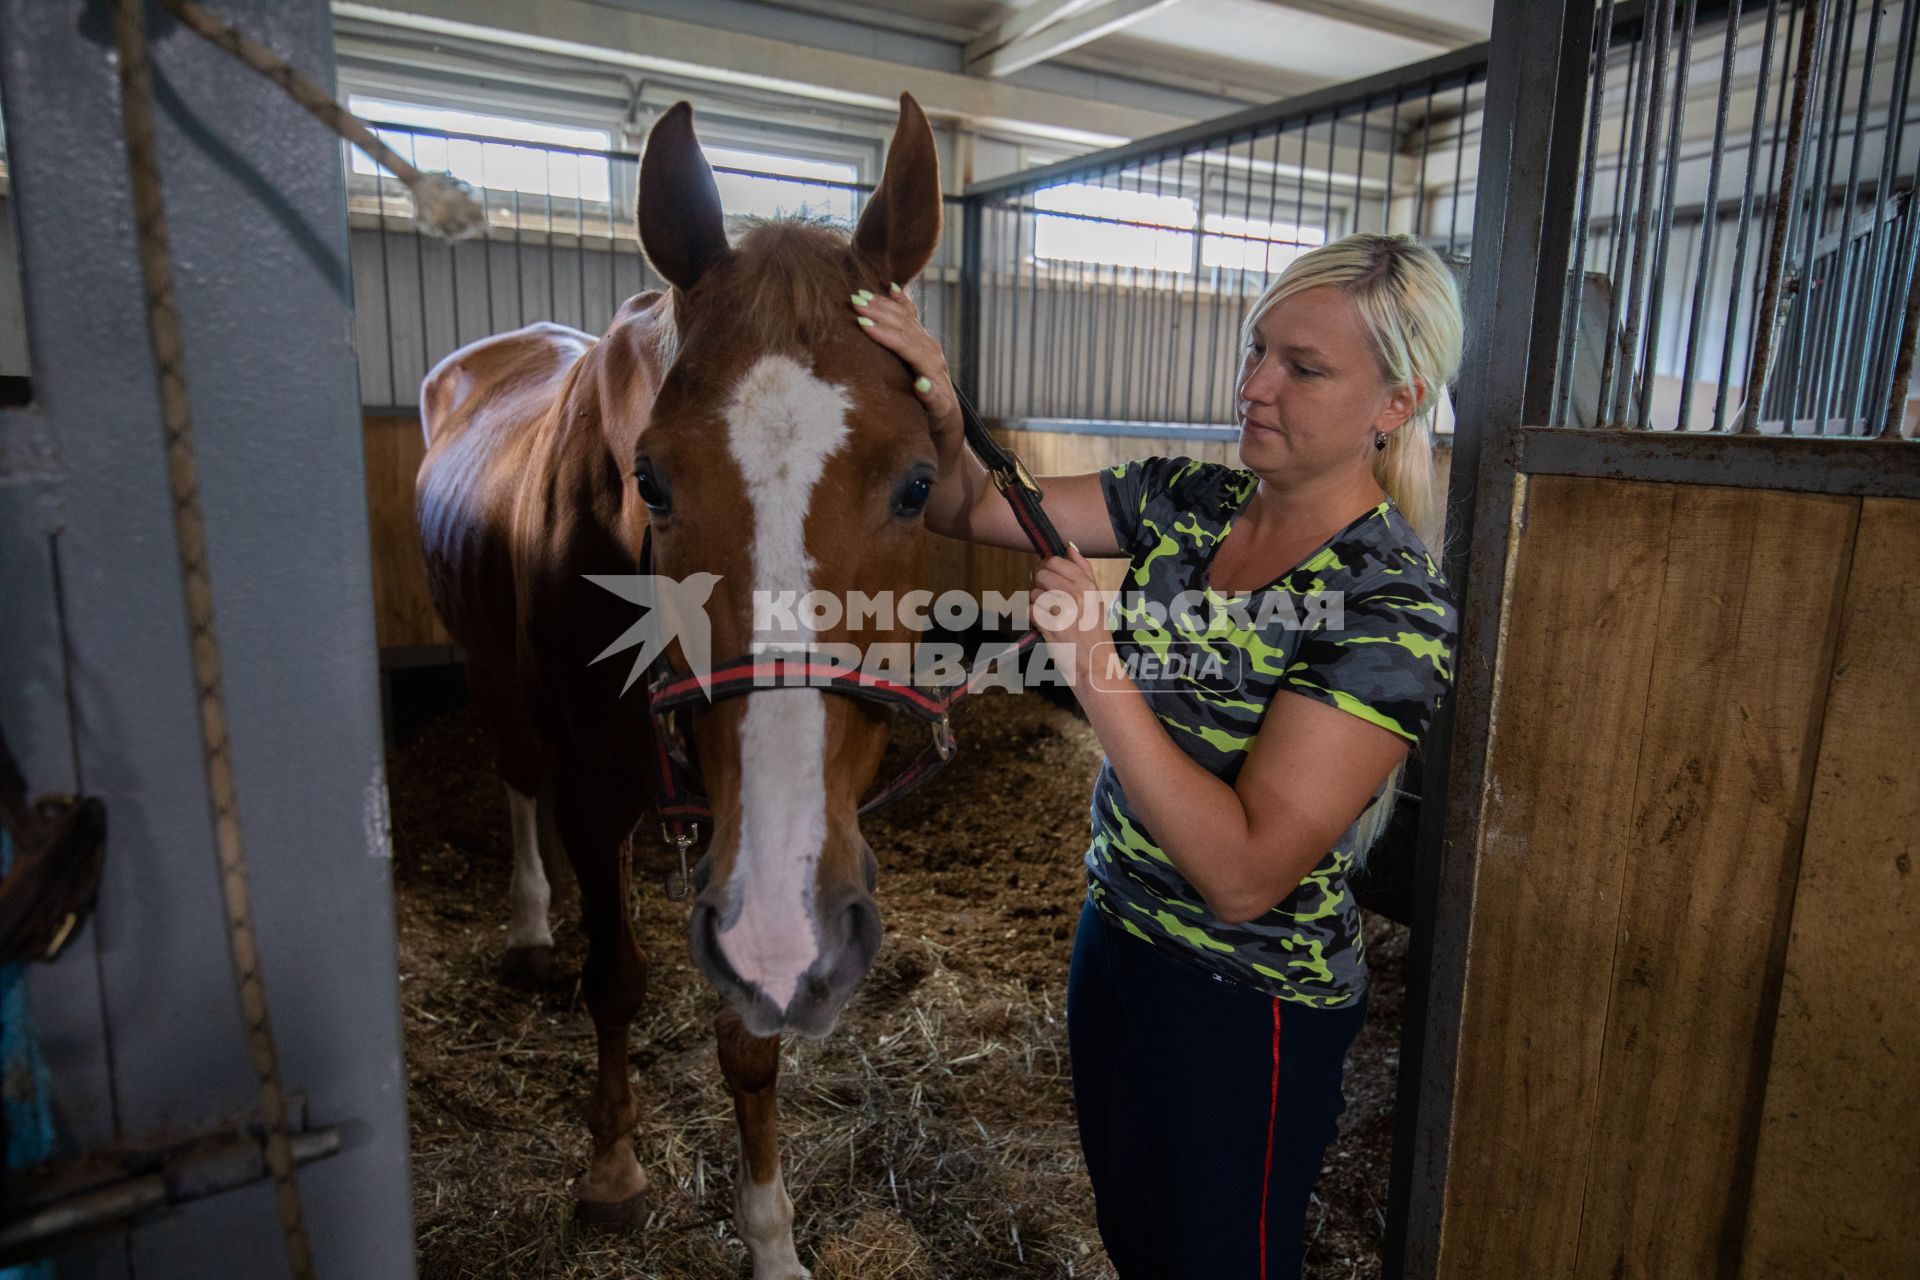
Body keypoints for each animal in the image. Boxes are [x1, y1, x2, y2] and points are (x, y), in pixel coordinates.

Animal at [422, 94, 952, 1274]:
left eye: (920, 482)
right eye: (652, 480)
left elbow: (748, 1041)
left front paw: (771, 1237)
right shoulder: (597, 778)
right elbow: (616, 976)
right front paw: (613, 1165)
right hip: (494, 677)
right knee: (518, 782)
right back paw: (533, 923)